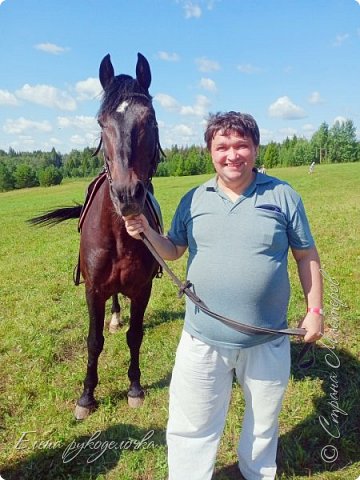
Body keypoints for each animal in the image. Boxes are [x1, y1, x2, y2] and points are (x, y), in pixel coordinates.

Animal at [30, 53, 162, 420]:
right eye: (102, 123)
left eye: (150, 119)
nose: (127, 195)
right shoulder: (93, 290)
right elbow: (93, 341)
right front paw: (86, 396)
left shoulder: (142, 289)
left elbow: (136, 336)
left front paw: (135, 387)